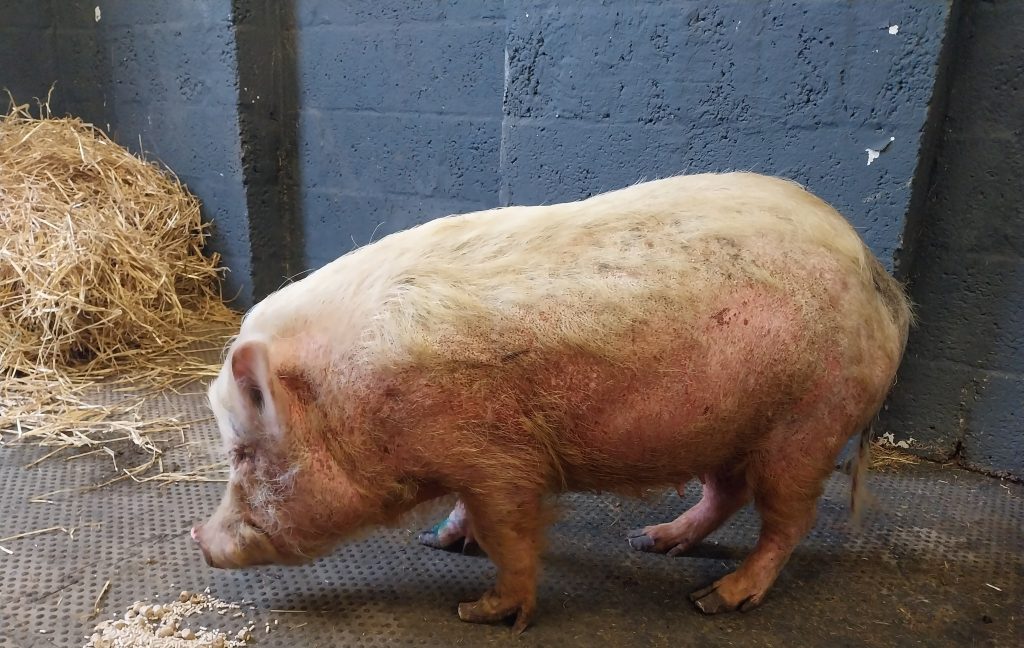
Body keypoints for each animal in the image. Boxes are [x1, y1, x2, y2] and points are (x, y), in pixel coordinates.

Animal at [192, 172, 911, 633]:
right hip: (729, 426)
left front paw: (479, 612)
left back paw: (714, 600)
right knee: (726, 494)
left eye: (242, 453)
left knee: (789, 521)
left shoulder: (496, 457)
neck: (354, 399)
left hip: (808, 424)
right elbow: (471, 517)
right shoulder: (471, 462)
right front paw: (436, 541)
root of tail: (881, 280)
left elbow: (507, 532)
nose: (200, 538)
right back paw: (651, 540)